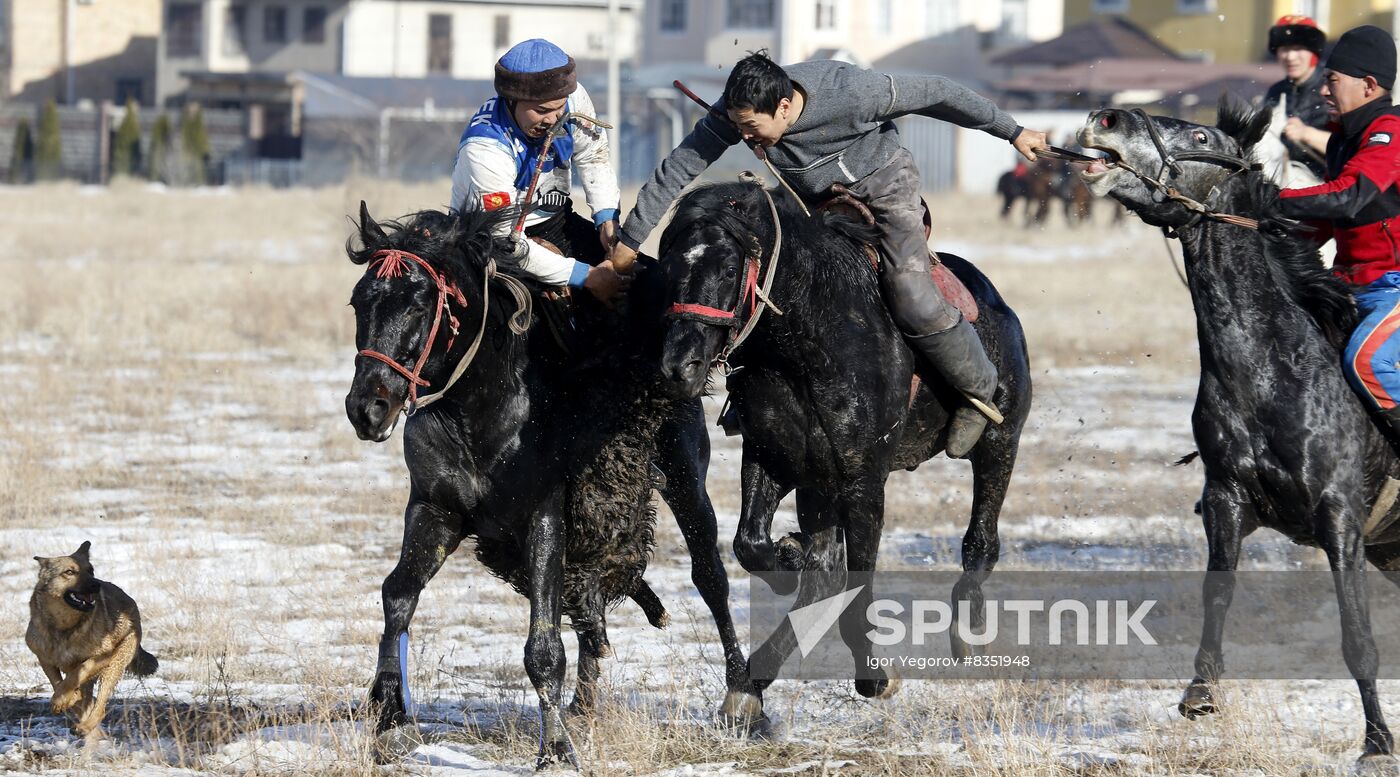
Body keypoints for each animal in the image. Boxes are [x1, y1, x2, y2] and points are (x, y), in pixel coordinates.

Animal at [343, 203, 762, 769]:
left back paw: (743, 695)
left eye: (420, 303)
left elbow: (543, 647)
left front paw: (558, 751)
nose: (367, 408)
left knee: (709, 576)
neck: (480, 406)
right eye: (359, 301)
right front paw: (388, 713)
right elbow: (398, 595)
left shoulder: (542, 517)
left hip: (683, 480)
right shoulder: (435, 511)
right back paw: (582, 706)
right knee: (588, 610)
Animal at [651, 181, 1032, 700]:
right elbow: (753, 545)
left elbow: (857, 576)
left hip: (1000, 443)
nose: (679, 366)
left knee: (982, 540)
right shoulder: (775, 459)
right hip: (820, 486)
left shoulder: (863, 479)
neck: (805, 343)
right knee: (820, 577)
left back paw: (967, 631)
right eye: (667, 266)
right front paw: (789, 553)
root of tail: (999, 307)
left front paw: (874, 676)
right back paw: (755, 677)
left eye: (729, 269)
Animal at [1079, 95, 1400, 767]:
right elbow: (1216, 593)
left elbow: (1356, 633)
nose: (1105, 120)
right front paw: (1200, 691)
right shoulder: (1227, 499)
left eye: (1201, 136)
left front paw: (1378, 742)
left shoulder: (1341, 518)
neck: (1275, 367)